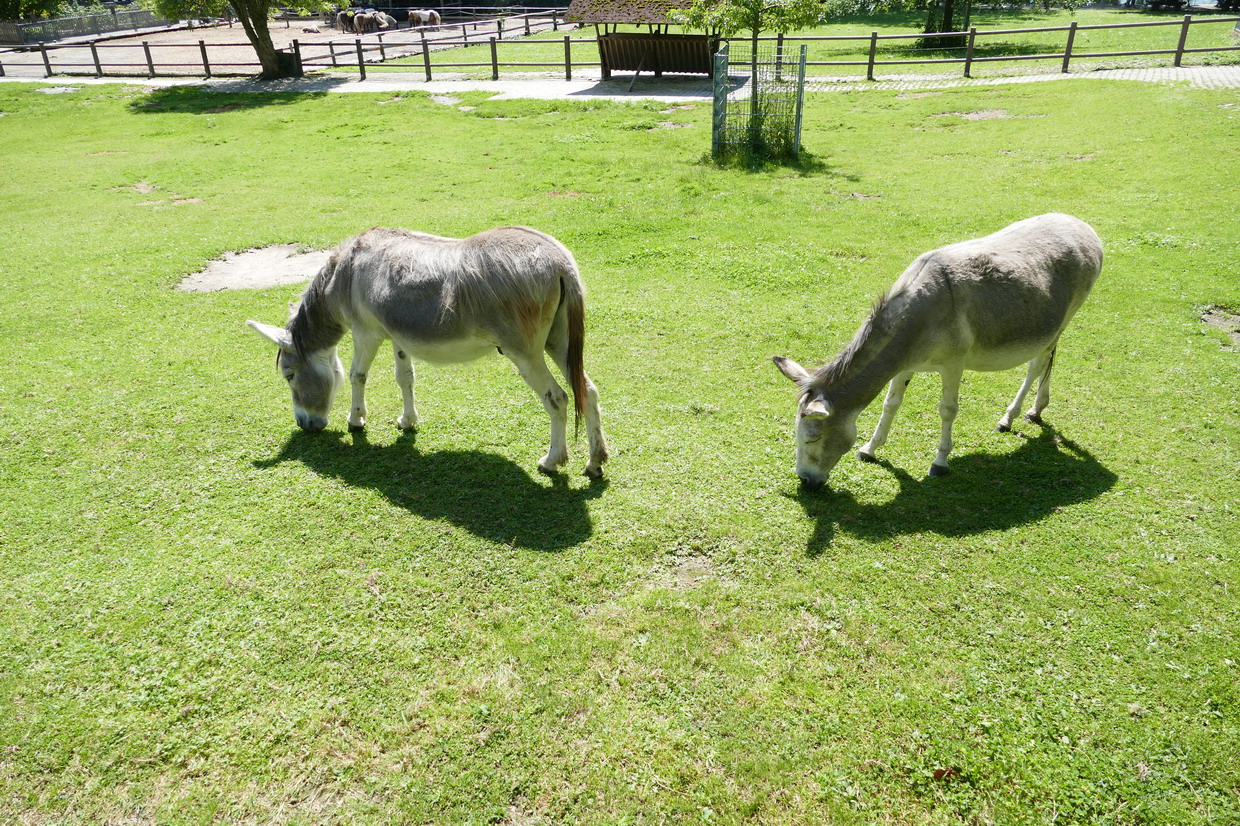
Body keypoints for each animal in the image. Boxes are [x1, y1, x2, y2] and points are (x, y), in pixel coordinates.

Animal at [246, 228, 610, 478]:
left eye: (289, 375)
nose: (305, 426)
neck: (344, 275)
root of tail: (560, 262)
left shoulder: (367, 333)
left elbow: (357, 375)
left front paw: (356, 420)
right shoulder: (398, 337)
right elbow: (405, 378)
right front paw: (407, 421)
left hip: (525, 353)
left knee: (558, 398)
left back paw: (552, 461)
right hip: (559, 341)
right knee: (587, 390)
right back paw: (595, 462)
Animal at [773, 212, 1106, 488]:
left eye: (812, 437)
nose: (805, 481)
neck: (920, 315)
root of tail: (1081, 225)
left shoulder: (953, 365)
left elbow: (948, 410)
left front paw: (940, 462)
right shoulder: (904, 364)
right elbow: (890, 405)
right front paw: (869, 449)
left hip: (1065, 317)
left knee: (1039, 363)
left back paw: (1016, 415)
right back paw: (1027, 413)